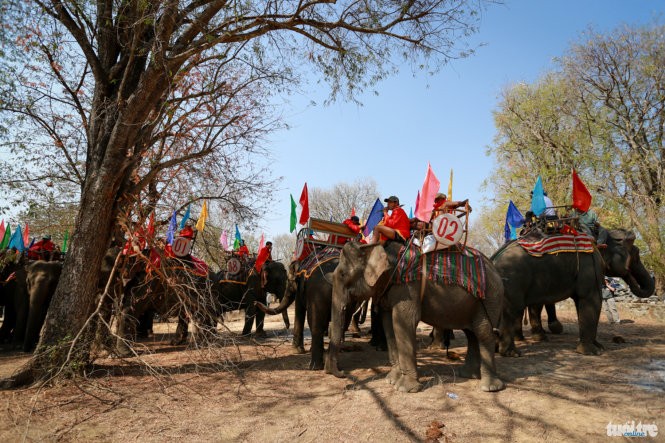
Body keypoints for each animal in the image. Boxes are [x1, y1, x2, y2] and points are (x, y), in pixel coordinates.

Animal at [322, 241, 504, 394]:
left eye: (343, 274)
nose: (342, 372)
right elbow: (389, 325)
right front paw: (391, 380)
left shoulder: (408, 287)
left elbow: (403, 321)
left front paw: (404, 389)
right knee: (471, 334)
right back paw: (468, 375)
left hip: (490, 298)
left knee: (484, 333)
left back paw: (489, 387)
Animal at [492, 229, 652, 358]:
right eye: (636, 255)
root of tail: (493, 259)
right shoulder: (589, 267)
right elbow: (592, 300)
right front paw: (592, 352)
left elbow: (581, 304)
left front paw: (599, 347)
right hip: (513, 280)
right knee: (513, 309)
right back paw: (511, 353)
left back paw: (497, 348)